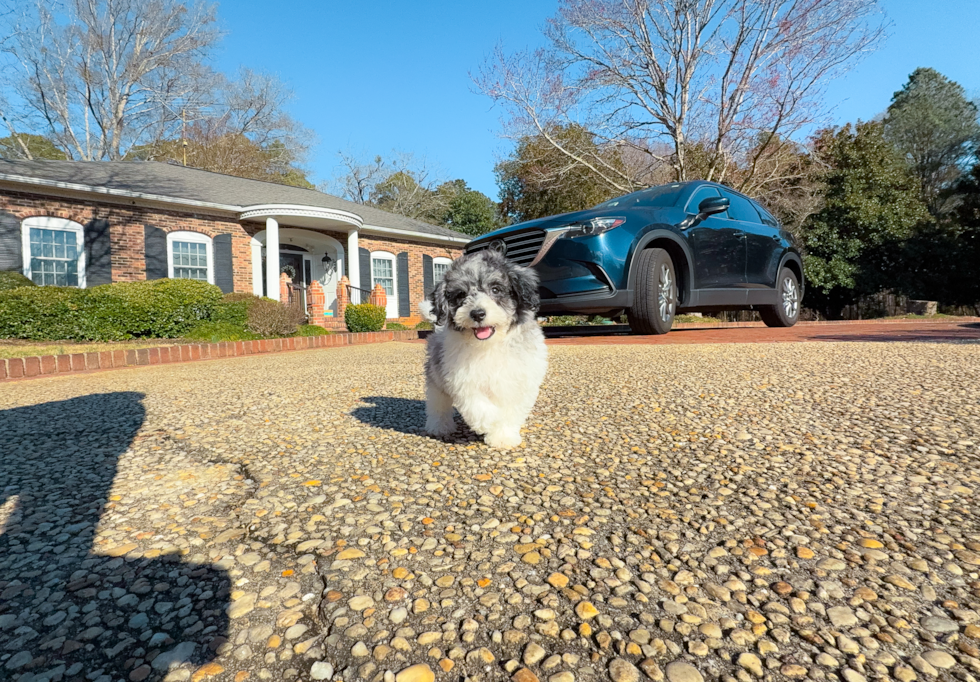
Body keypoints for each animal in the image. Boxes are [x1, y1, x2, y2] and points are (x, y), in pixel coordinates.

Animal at [418, 248, 548, 446]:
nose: (477, 313)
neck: (489, 344)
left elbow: (512, 411)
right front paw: (489, 422)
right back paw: (439, 427)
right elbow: (477, 405)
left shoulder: (521, 381)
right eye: (461, 295)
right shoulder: (461, 378)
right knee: (438, 404)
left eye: (495, 289)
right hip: (436, 377)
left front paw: (503, 437)